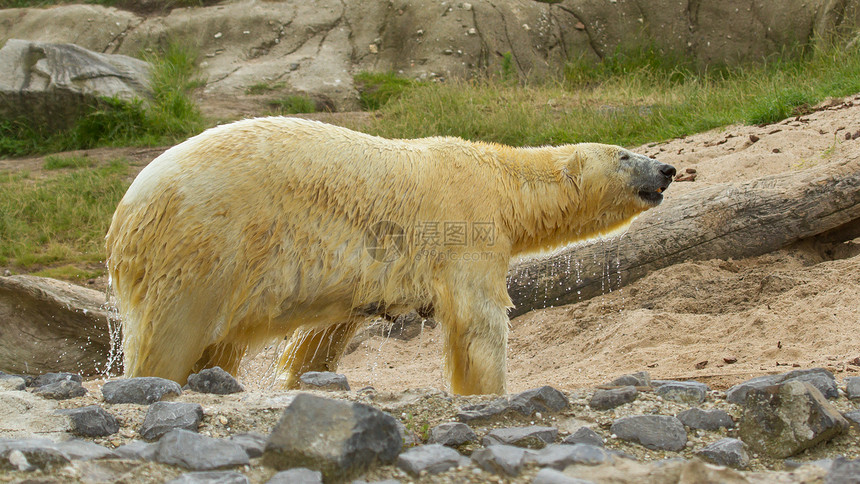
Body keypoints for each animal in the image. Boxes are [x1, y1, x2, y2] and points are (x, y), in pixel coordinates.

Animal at [104, 116, 676, 394]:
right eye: (626, 155)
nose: (668, 168)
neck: (501, 179)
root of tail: (124, 214)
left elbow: (324, 335)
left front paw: (300, 376)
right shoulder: (466, 227)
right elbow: (480, 323)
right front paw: (488, 391)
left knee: (218, 344)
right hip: (203, 245)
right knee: (172, 333)